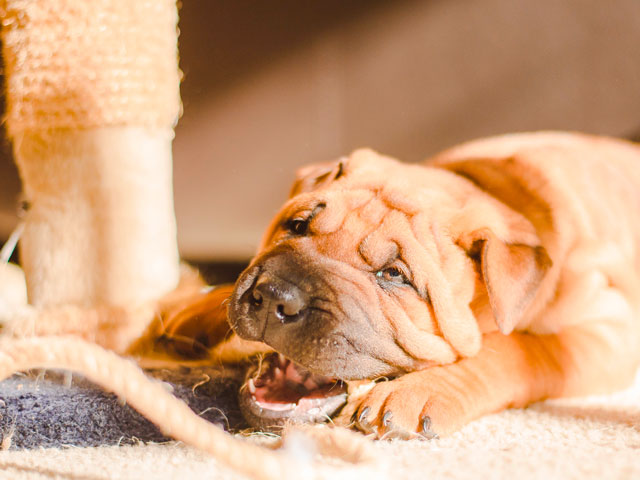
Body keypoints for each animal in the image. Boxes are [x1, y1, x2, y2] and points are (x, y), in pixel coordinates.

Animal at [170, 131, 640, 438]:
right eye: (297, 226)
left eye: (393, 276)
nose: (275, 298)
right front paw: (192, 311)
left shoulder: (610, 330)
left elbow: (519, 349)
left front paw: (417, 395)